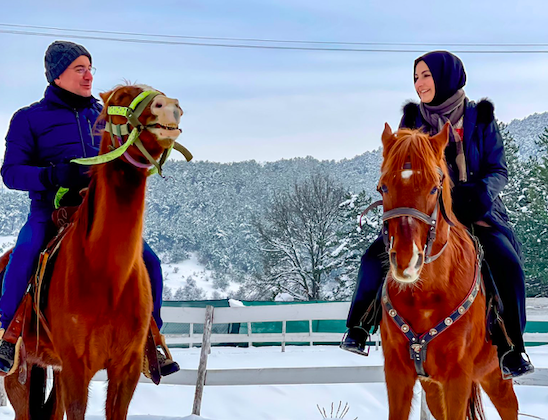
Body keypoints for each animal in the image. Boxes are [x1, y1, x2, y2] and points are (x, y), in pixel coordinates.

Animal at [2, 83, 184, 418]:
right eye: (120, 99)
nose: (169, 106)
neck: (106, 275)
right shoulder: (76, 368)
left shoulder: (125, 369)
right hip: (19, 375)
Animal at [378, 123, 516, 420]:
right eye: (383, 187)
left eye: (434, 188)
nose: (407, 260)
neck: (426, 295)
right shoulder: (398, 374)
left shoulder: (457, 377)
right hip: (434, 388)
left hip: (495, 375)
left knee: (510, 406)